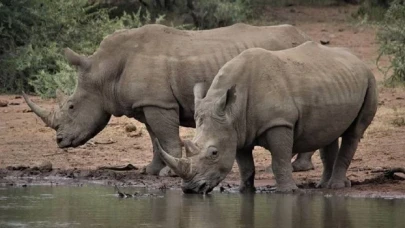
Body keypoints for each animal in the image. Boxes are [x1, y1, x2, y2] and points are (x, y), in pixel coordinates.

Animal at [22, 23, 310, 175]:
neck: (104, 71)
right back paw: (299, 167)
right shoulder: (148, 103)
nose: (59, 141)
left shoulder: (159, 103)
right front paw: (151, 171)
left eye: (71, 106)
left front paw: (169, 172)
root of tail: (303, 36)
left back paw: (298, 169)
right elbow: (154, 138)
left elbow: (166, 136)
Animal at [156, 41, 378, 194]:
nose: (190, 189)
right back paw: (323, 185)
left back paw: (335, 187)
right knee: (328, 133)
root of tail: (358, 60)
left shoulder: (279, 123)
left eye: (213, 153)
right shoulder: (237, 130)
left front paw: (288, 191)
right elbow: (245, 166)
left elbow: (279, 160)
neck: (231, 111)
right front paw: (245, 191)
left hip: (370, 79)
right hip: (334, 81)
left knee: (354, 132)